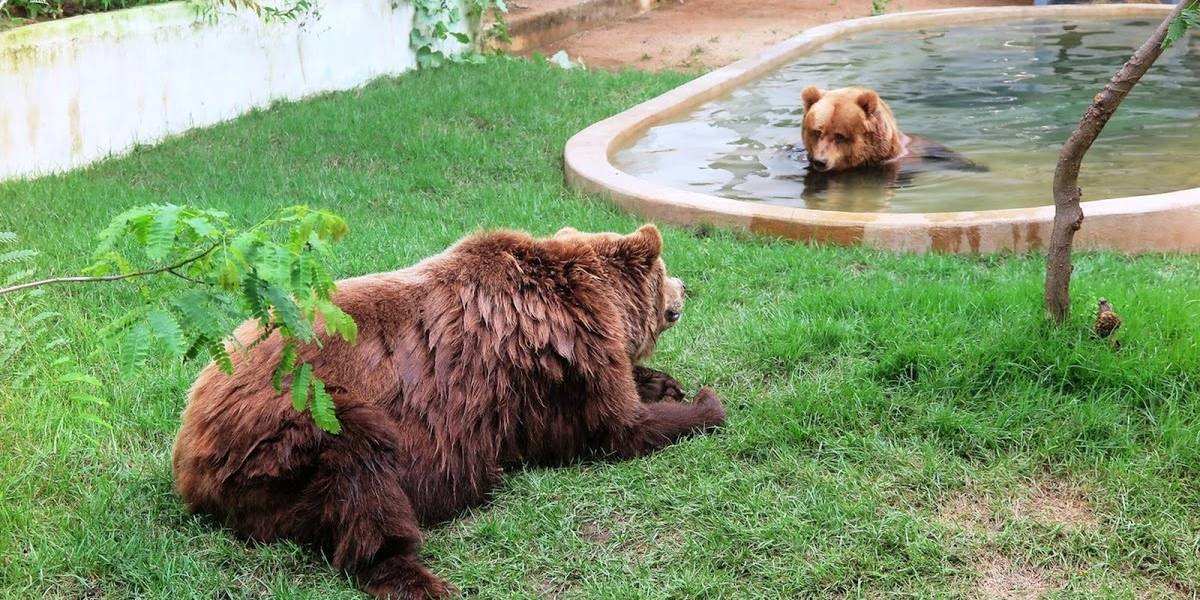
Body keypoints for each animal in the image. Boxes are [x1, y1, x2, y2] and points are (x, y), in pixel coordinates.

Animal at [174, 224, 724, 595]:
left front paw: (665, 383)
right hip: (291, 420)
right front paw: (706, 403)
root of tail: (187, 443)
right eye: (665, 271)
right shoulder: (565, 361)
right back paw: (418, 577)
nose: (686, 287)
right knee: (360, 468)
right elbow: (618, 427)